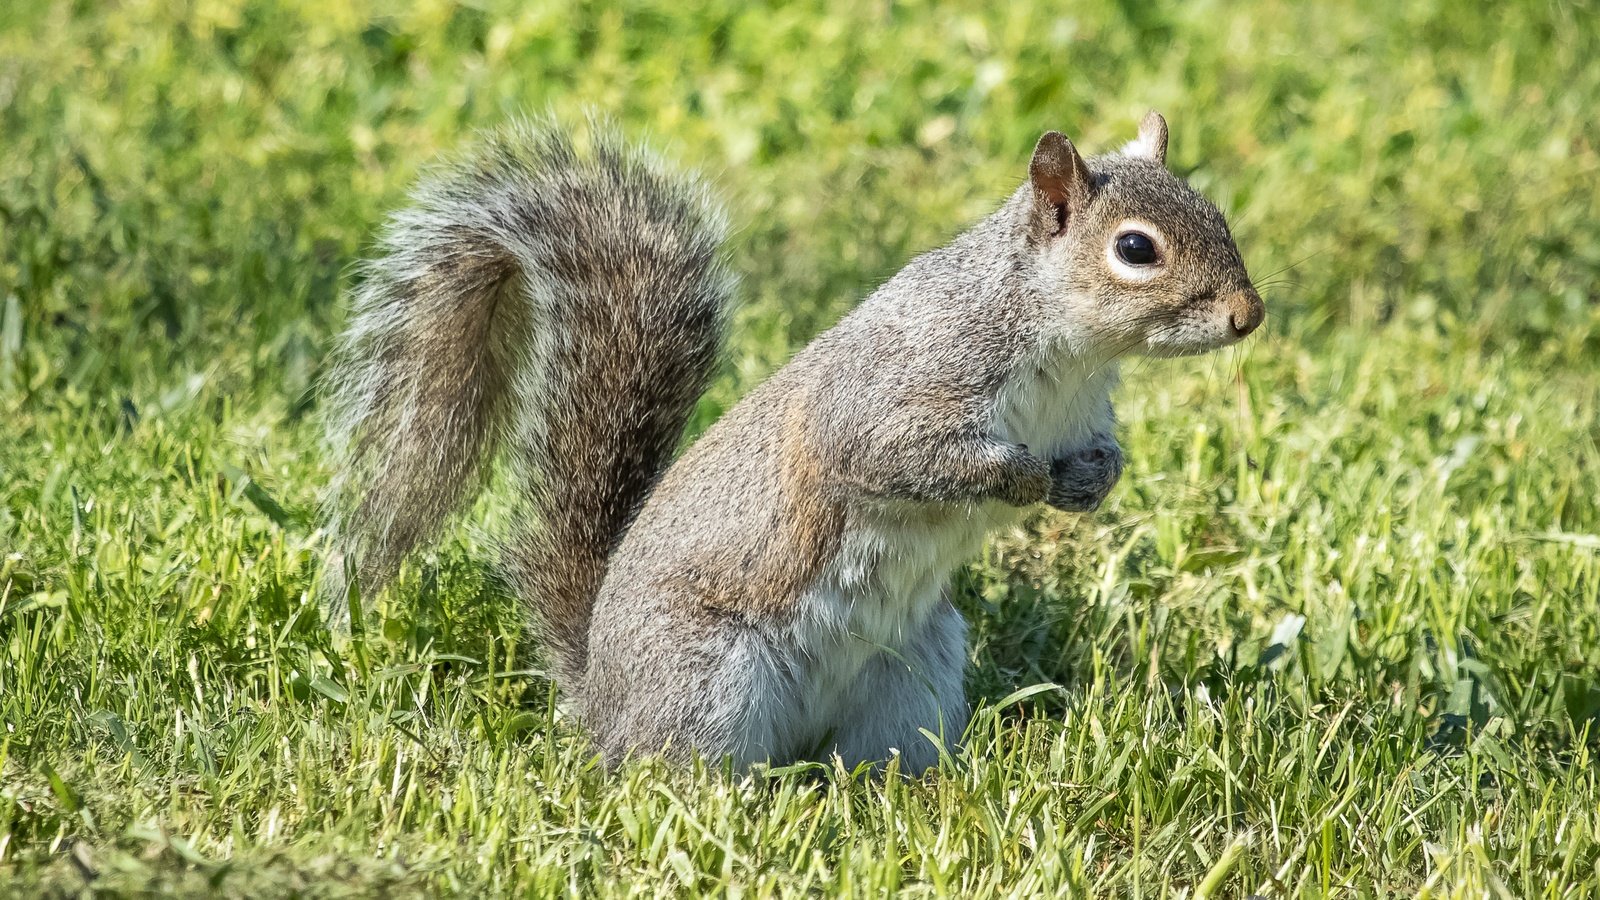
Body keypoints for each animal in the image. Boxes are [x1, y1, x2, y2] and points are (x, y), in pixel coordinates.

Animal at [321, 110, 1260, 771]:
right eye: (1134, 248)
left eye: (1219, 214)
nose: (1250, 315)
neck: (1066, 354)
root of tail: (599, 699)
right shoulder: (893, 392)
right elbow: (892, 457)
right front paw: (1018, 477)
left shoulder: (1085, 413)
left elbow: (1101, 456)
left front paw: (1088, 481)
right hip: (705, 680)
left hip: (912, 670)